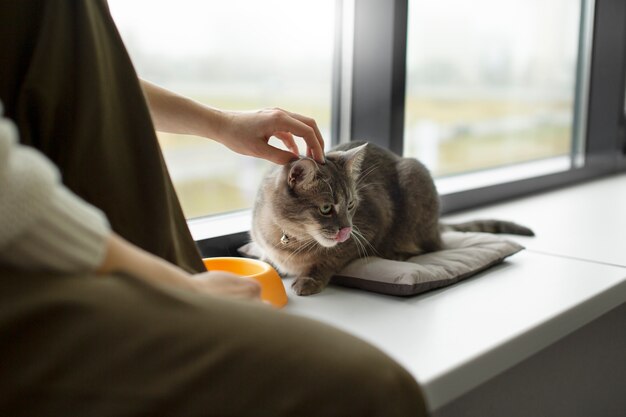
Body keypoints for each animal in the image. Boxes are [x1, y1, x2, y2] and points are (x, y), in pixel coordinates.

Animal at [249, 141, 532, 294]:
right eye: (326, 208)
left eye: (351, 205)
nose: (346, 230)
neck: (291, 239)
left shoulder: (371, 225)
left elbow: (330, 258)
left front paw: (309, 278)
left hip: (415, 181)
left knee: (429, 246)